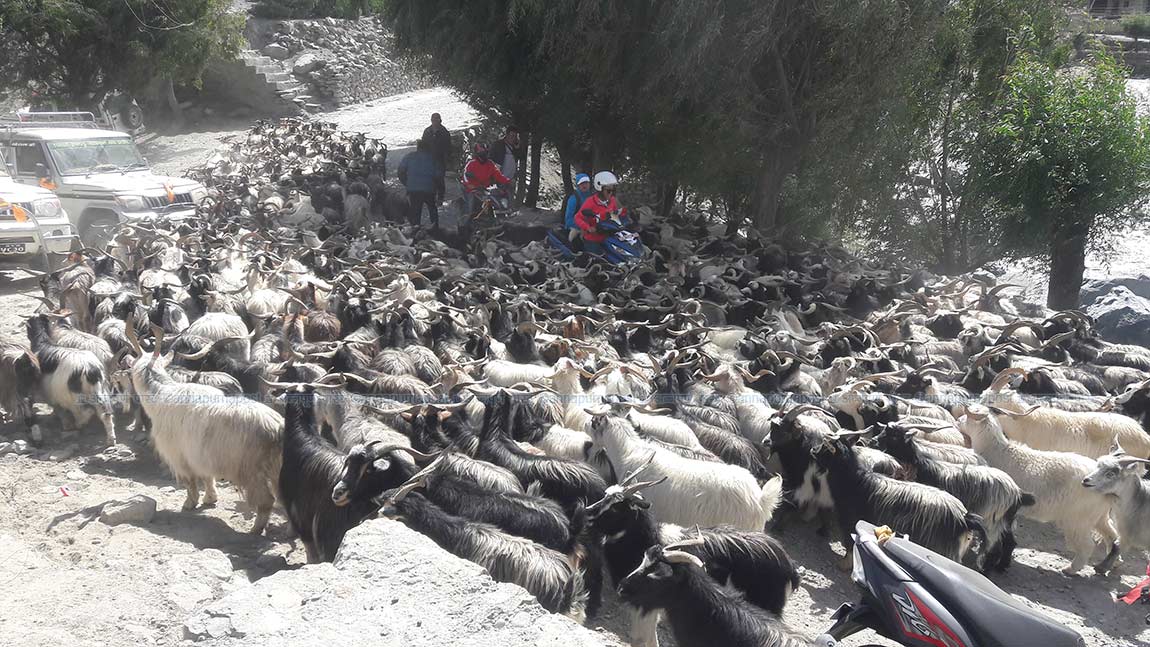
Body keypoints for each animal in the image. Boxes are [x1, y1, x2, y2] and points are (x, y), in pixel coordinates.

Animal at [812, 435, 986, 567]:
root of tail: (964, 518)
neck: (854, 481)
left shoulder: (850, 520)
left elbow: (849, 543)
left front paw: (845, 564)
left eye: (825, 448)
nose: (812, 449)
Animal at [872, 423, 1033, 571]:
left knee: (992, 546)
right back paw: (1001, 566)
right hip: (1005, 520)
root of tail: (1017, 492)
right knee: (1009, 542)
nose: (873, 441)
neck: (920, 466)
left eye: (894, 436)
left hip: (992, 522)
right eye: (884, 430)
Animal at [958, 404, 1118, 575]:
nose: (958, 420)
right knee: (1113, 536)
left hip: (1077, 520)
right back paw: (1107, 565)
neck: (998, 450)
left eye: (968, 415)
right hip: (1099, 517)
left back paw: (1070, 569)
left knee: (1087, 545)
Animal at [1081, 442, 1150, 575]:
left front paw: (1102, 567)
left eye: (1110, 474)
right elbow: (1116, 546)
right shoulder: (1125, 533)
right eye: (1097, 466)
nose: (1086, 480)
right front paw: (1103, 566)